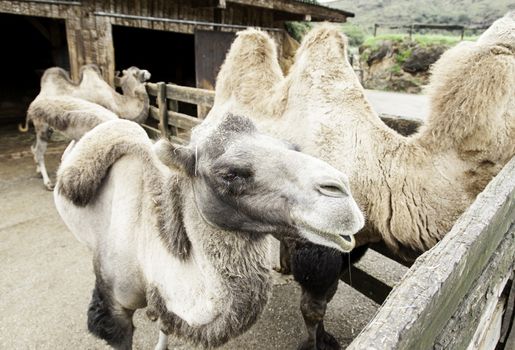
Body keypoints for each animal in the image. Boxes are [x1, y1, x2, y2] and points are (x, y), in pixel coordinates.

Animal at [204, 11, 512, 350]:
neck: (386, 176)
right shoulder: (317, 244)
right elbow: (312, 307)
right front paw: (314, 343)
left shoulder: (355, 241)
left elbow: (328, 295)